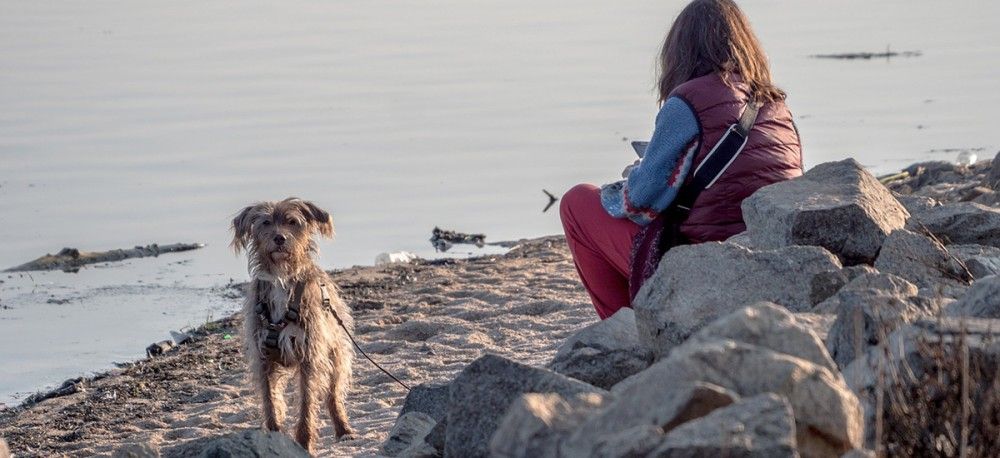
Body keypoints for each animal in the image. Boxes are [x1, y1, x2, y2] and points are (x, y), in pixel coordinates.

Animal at [230, 196, 356, 450]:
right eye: (266, 222)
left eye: (292, 222)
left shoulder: (309, 355)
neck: (281, 276)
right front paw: (273, 437)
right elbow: (270, 401)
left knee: (333, 395)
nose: (280, 238)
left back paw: (343, 429)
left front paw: (304, 444)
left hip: (337, 355)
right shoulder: (263, 358)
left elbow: (307, 402)